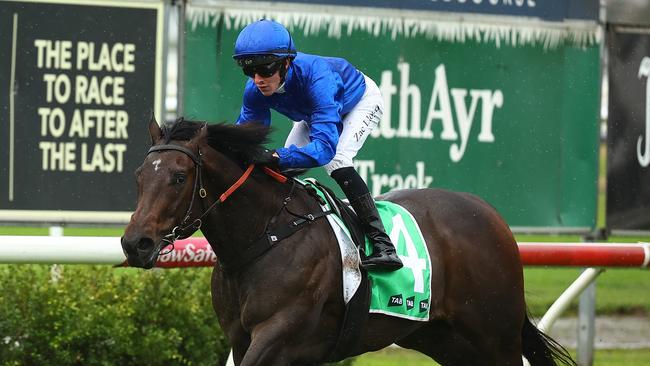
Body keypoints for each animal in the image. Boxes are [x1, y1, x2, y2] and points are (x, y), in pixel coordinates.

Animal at [121, 118, 572, 366]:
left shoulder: (278, 334)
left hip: (496, 335)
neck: (265, 236)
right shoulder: (245, 339)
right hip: (444, 339)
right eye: (141, 175)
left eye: (179, 177)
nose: (135, 243)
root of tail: (491, 215)